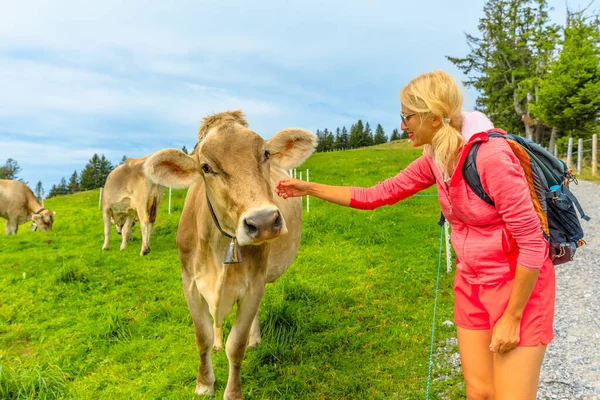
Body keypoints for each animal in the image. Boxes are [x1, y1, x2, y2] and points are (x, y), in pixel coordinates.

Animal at [144, 110, 316, 400]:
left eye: (265, 153)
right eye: (205, 167)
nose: (263, 221)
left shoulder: (253, 286)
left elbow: (236, 346)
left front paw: (233, 392)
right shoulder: (189, 284)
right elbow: (201, 338)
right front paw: (204, 383)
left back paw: (254, 338)